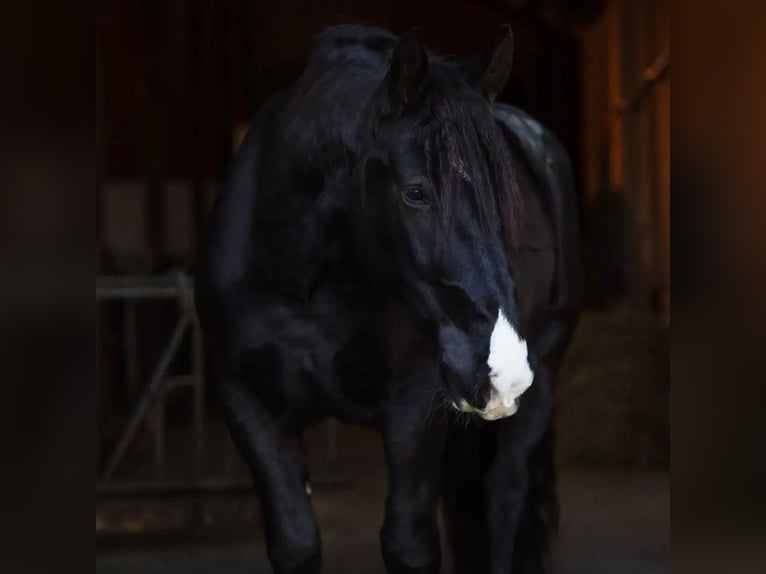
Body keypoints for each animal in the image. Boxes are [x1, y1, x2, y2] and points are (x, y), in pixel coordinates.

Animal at [195, 24, 582, 574]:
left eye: (505, 196)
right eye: (416, 193)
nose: (502, 369)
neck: (303, 286)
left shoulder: (413, 407)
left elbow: (409, 545)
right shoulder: (248, 406)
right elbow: (296, 543)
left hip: (542, 379)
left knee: (504, 499)